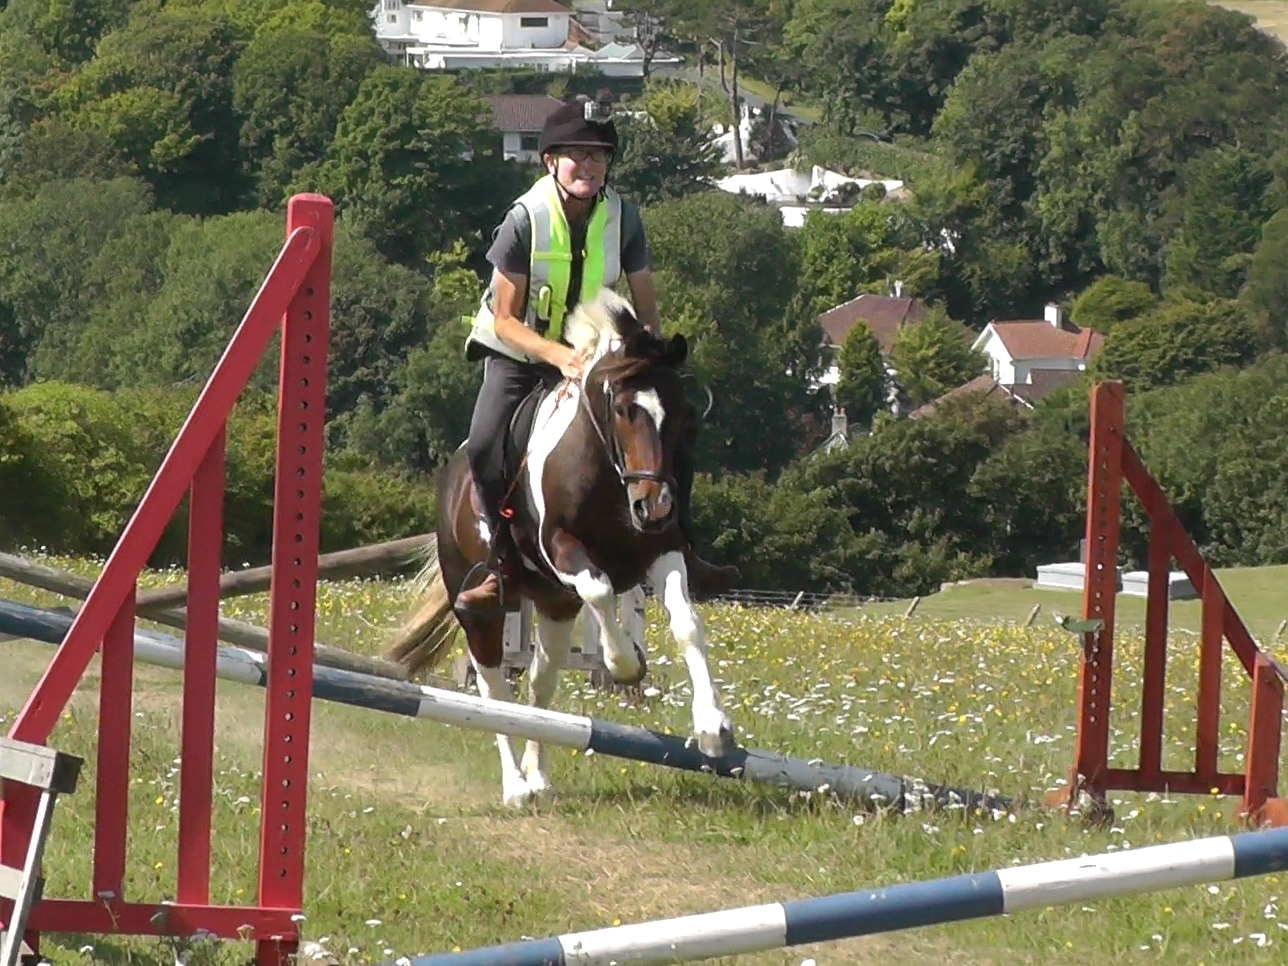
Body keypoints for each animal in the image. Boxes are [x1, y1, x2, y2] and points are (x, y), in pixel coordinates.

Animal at [385, 286, 738, 808]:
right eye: (622, 409)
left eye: (682, 415)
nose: (652, 507)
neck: (608, 474)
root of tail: (450, 477)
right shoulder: (562, 548)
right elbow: (600, 591)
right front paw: (624, 665)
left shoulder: (661, 550)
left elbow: (686, 623)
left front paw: (713, 726)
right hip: (481, 606)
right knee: (493, 687)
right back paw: (515, 785)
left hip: (552, 604)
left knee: (541, 685)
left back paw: (538, 777)